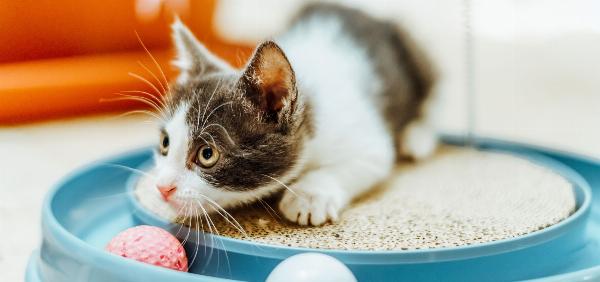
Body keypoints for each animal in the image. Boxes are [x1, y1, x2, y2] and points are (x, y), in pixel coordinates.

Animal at [150, 2, 438, 227]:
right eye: (165, 143)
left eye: (207, 154)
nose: (162, 188)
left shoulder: (367, 139)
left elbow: (366, 160)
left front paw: (309, 196)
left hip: (416, 51)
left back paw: (417, 136)